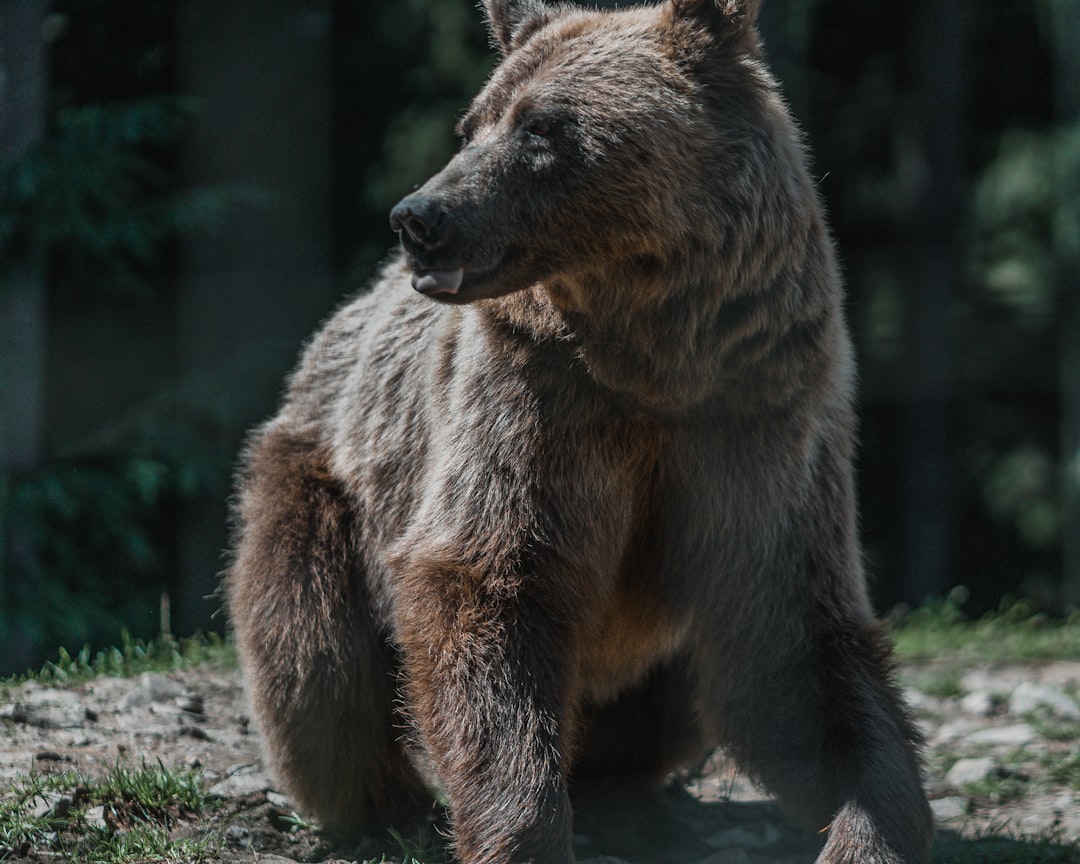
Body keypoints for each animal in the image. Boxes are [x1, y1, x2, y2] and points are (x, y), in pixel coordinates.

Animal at [227, 1, 937, 864]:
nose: (420, 218)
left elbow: (798, 648)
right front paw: (521, 832)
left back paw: (625, 795)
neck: (655, 359)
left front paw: (870, 827)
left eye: (542, 128)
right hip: (324, 476)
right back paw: (389, 808)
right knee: (315, 657)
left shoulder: (756, 417)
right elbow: (489, 586)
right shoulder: (535, 406)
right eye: (474, 122)